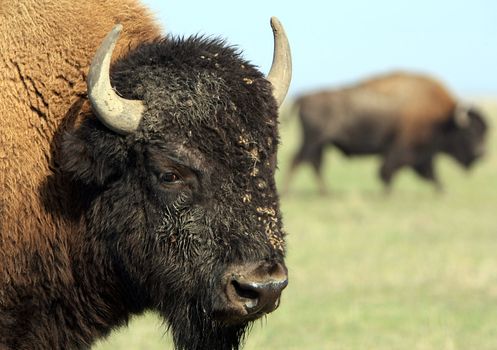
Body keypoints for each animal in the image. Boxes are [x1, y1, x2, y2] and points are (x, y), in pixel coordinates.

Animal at [284, 71, 486, 194]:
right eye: (470, 132)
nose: (480, 153)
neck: (443, 119)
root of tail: (304, 97)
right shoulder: (405, 148)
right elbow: (389, 169)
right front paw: (387, 194)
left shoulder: (423, 154)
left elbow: (429, 173)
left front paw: (442, 191)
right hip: (313, 140)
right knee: (299, 160)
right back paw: (292, 192)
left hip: (320, 143)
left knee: (313, 163)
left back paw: (325, 193)